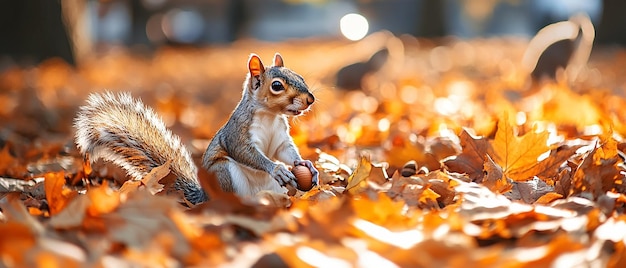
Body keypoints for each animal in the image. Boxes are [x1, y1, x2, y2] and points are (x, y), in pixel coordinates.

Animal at [74, 52, 316, 204]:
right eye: (276, 86)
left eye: (301, 77)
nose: (310, 99)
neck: (270, 116)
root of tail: (204, 197)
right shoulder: (237, 133)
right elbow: (245, 153)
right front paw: (276, 168)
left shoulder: (281, 137)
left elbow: (285, 151)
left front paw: (306, 165)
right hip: (224, 173)